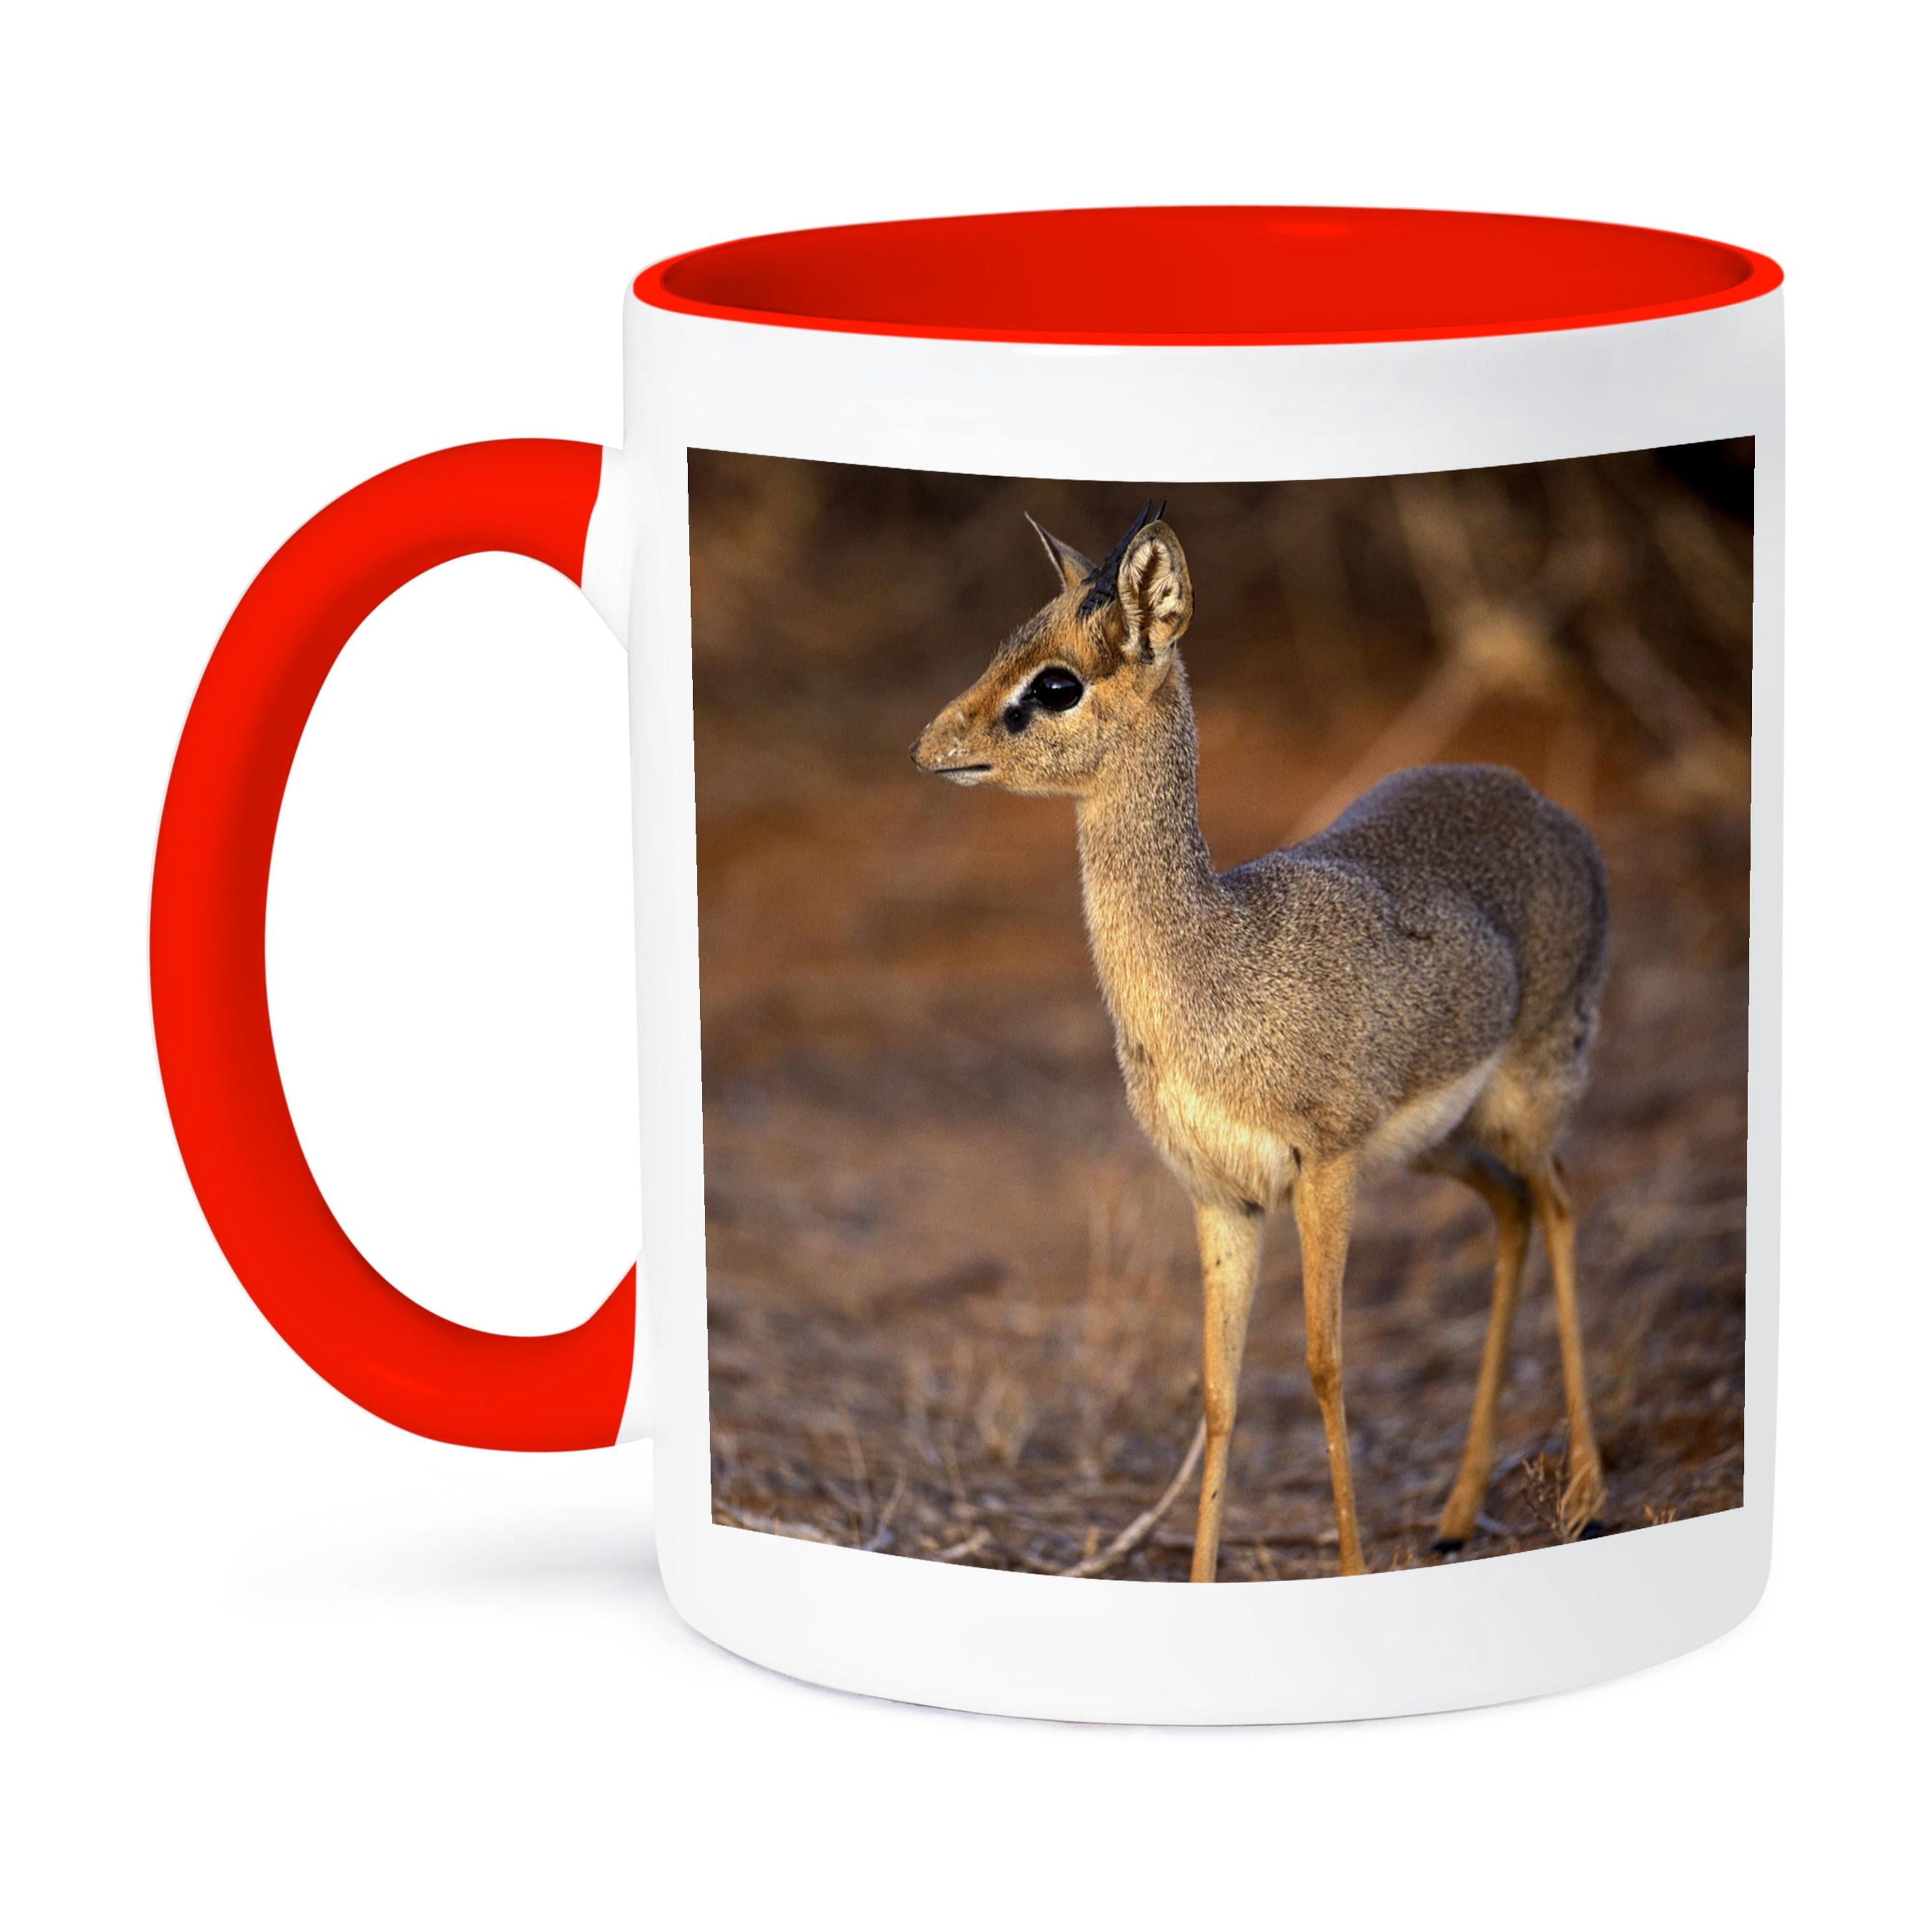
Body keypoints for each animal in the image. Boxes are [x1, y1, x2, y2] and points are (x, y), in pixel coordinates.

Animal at [912, 504, 1609, 1579]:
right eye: (1006, 644)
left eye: (1057, 682)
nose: (929, 744)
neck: (1221, 963)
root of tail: (1550, 812)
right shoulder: (1221, 1197)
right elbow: (1218, 1392)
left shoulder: (1322, 1168)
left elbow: (1324, 1365)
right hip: (1440, 1146)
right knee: (1513, 1210)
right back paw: (1456, 1513)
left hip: (1528, 1096)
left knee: (1564, 1203)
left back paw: (1584, 1495)